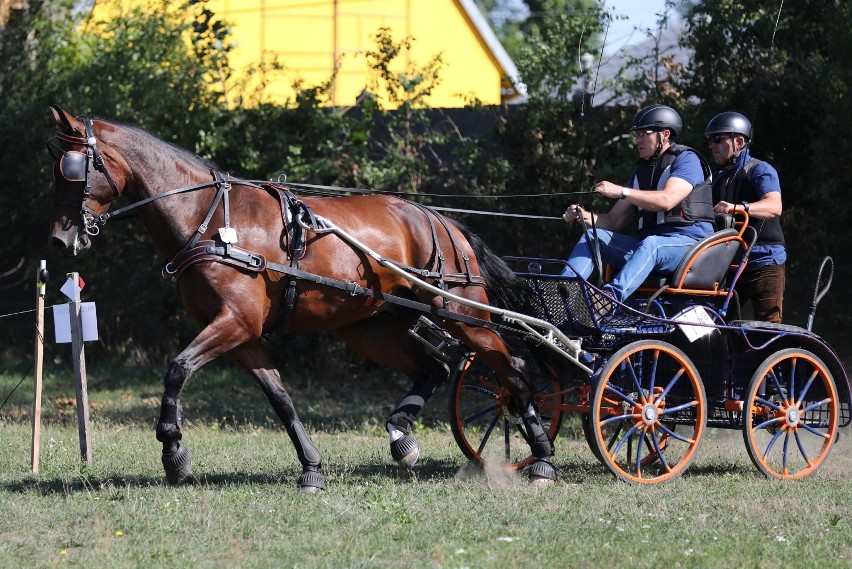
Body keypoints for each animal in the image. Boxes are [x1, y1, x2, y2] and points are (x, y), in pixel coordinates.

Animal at [46, 105, 556, 488]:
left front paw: (173, 449)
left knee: (511, 368)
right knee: (435, 369)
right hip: (369, 329)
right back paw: (401, 436)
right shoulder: (244, 334)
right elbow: (279, 396)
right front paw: (311, 467)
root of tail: (440, 220)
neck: (208, 218)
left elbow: (177, 370)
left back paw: (542, 457)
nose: (60, 239)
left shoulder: (234, 323)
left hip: (463, 313)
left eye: (72, 169)